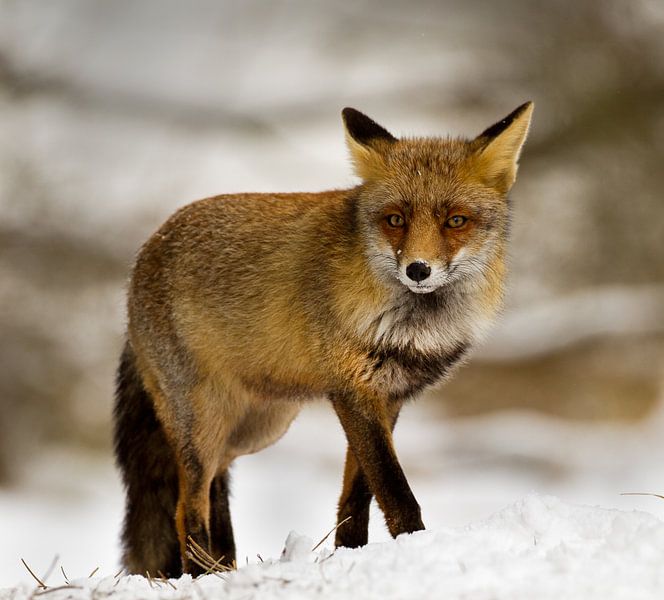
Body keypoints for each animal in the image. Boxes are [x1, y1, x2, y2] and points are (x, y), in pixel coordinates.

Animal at [113, 102, 533, 577]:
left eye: (456, 221)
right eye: (395, 220)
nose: (418, 270)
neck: (412, 325)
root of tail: (146, 251)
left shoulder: (387, 398)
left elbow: (357, 498)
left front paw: (351, 554)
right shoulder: (352, 392)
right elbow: (395, 492)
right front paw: (416, 547)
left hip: (254, 428)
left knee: (215, 489)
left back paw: (225, 568)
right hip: (202, 422)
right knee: (186, 509)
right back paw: (204, 576)